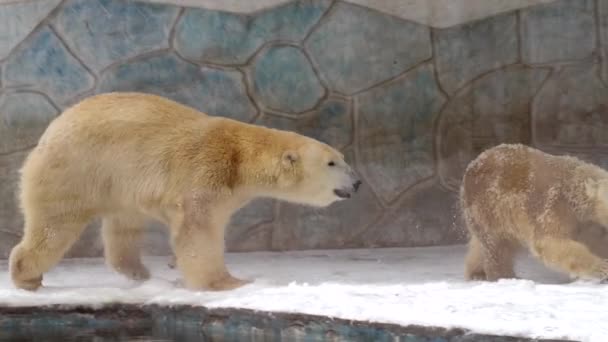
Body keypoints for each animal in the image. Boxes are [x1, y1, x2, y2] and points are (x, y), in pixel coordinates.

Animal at [8, 93, 360, 292]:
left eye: (343, 158)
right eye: (333, 162)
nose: (357, 183)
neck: (240, 156)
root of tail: (50, 131)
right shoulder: (205, 173)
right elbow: (198, 231)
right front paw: (227, 282)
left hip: (117, 181)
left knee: (124, 226)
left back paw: (138, 272)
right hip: (75, 169)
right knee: (55, 225)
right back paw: (26, 276)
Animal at [460, 143, 608, 282]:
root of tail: (472, 165)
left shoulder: (586, 221)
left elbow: (595, 240)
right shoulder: (554, 206)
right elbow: (549, 241)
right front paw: (601, 268)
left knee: (481, 245)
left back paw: (477, 273)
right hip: (488, 207)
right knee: (497, 245)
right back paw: (505, 276)